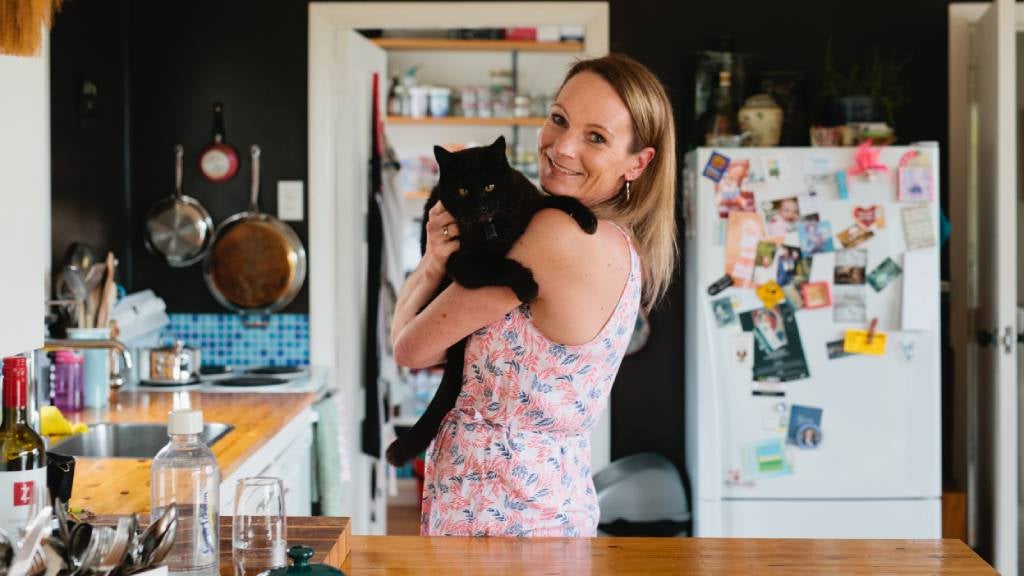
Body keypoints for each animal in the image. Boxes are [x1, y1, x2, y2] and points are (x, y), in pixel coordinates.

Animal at [389, 135, 598, 467]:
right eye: (463, 190)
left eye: (489, 186)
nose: (481, 205)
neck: (493, 229)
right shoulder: (461, 265)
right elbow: (499, 266)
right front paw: (528, 285)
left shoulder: (530, 201)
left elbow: (555, 201)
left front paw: (588, 219)